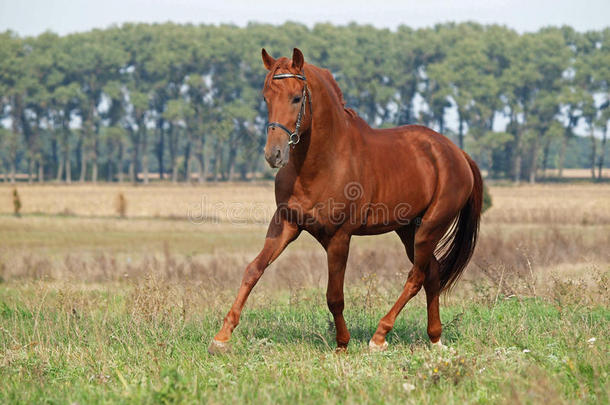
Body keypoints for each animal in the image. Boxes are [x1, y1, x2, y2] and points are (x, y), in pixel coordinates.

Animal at [208, 46, 480, 350]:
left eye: (297, 97)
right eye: (266, 96)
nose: (274, 154)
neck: (323, 162)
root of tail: (457, 153)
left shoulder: (339, 237)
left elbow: (334, 296)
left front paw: (342, 343)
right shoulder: (285, 225)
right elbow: (254, 270)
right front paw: (221, 337)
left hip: (429, 228)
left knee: (416, 277)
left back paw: (380, 336)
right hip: (409, 230)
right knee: (431, 272)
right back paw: (435, 338)